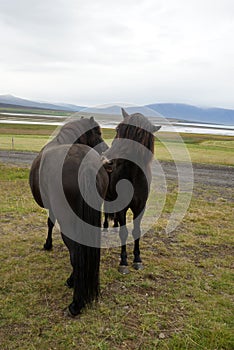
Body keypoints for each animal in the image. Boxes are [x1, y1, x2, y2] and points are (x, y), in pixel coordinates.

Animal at [29, 118, 109, 318]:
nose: (106, 149)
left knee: (75, 255)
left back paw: (76, 301)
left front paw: (47, 245)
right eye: (97, 133)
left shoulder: (52, 209)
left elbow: (49, 223)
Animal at [103, 108, 161, 274]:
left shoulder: (140, 207)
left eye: (138, 139)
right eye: (118, 130)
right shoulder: (122, 206)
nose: (107, 161)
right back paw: (105, 228)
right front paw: (123, 262)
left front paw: (137, 259)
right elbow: (124, 233)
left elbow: (136, 232)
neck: (133, 177)